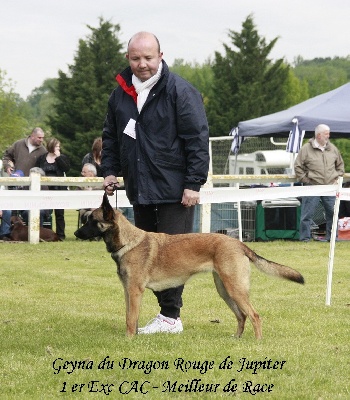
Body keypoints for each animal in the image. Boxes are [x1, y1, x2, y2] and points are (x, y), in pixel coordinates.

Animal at [74, 192, 304, 340]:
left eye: (91, 220)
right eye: (86, 219)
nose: (76, 233)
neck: (128, 242)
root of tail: (238, 243)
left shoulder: (135, 291)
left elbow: (131, 319)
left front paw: (129, 340)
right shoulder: (128, 292)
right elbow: (130, 317)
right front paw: (133, 337)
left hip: (235, 289)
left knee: (254, 315)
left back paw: (257, 343)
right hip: (225, 290)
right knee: (242, 315)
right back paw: (236, 338)